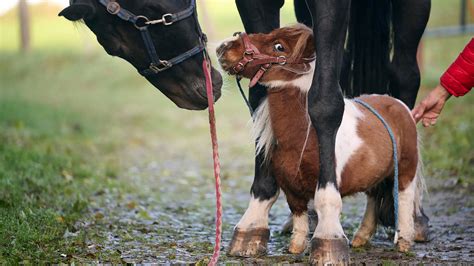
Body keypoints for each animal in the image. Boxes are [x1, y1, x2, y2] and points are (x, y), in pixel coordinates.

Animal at [228, 0, 432, 262]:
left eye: (279, 47)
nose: (225, 48)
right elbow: (258, 96)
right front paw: (253, 224)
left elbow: (325, 101)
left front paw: (328, 234)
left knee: (405, 74)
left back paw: (409, 226)